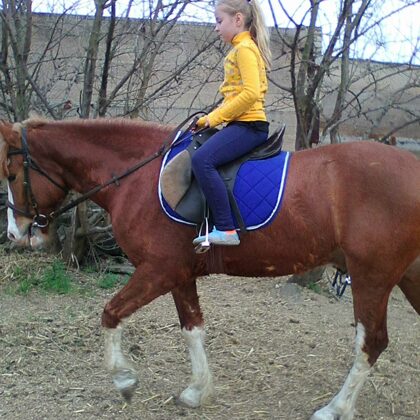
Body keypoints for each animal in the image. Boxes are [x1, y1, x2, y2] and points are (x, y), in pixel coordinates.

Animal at [0, 117, 419, 420]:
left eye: (11, 175)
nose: (15, 234)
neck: (140, 176)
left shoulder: (158, 271)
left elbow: (110, 314)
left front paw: (124, 380)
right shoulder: (180, 275)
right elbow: (193, 329)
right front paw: (196, 391)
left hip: (372, 278)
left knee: (371, 342)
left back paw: (335, 409)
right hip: (405, 276)